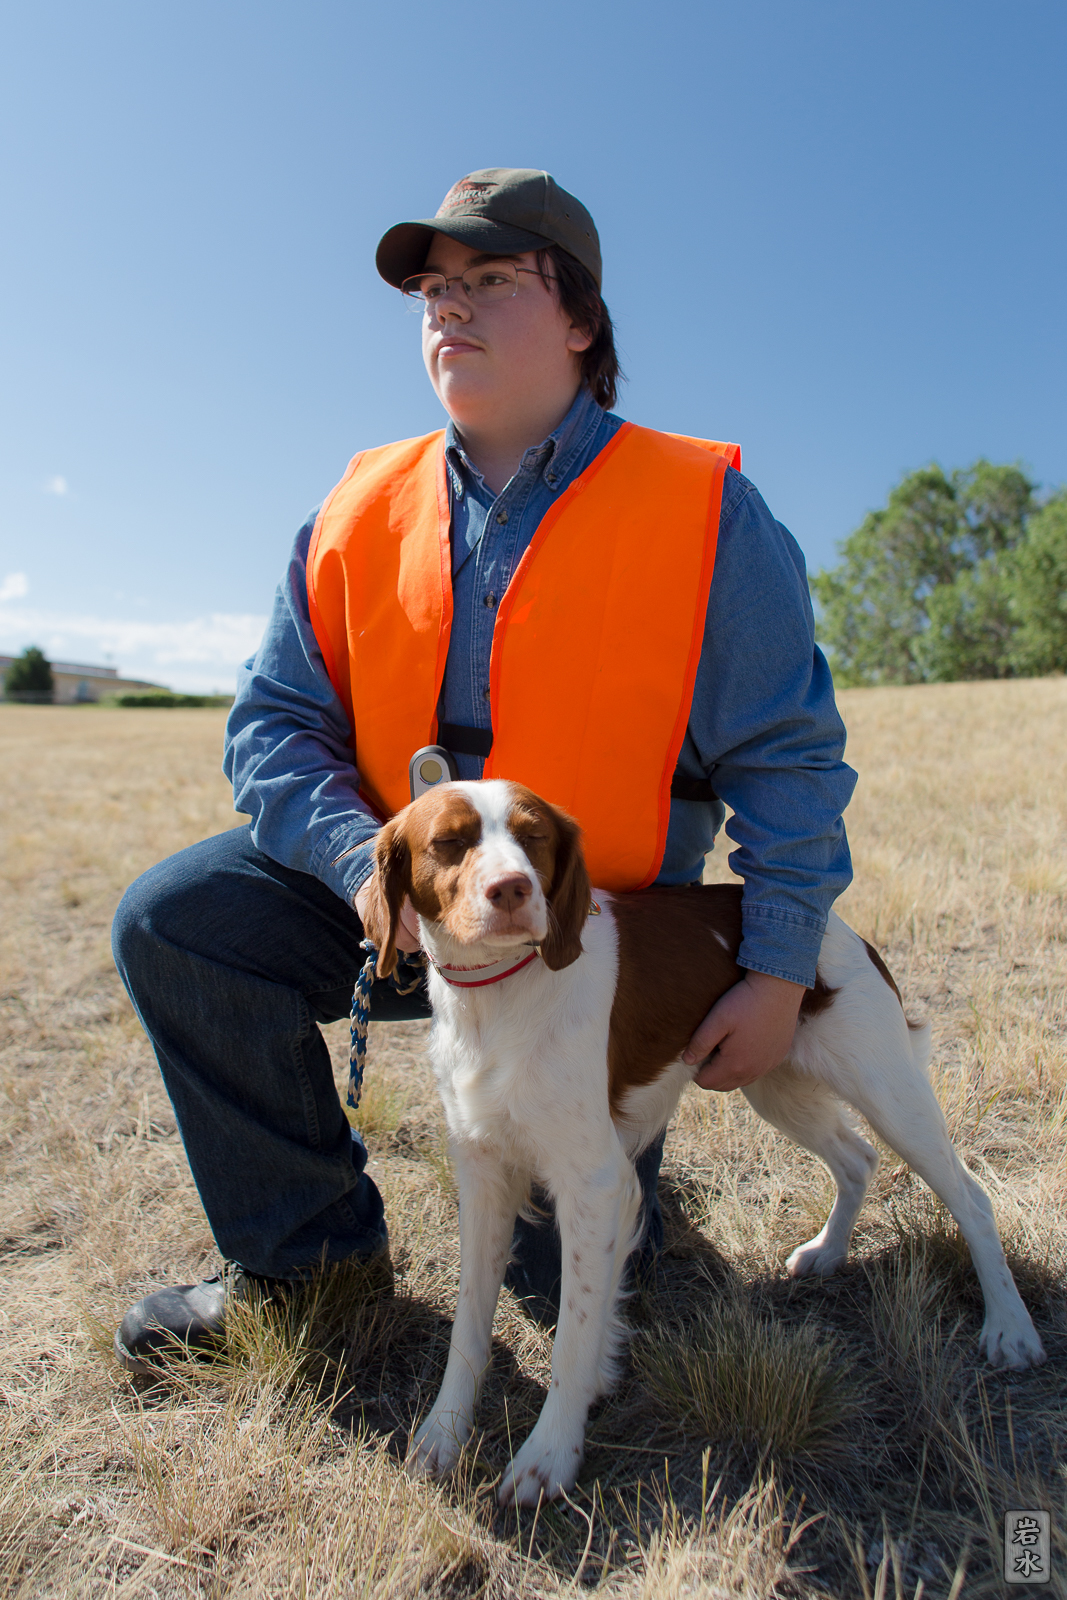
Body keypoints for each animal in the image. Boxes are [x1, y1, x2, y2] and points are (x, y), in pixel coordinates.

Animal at [363, 780, 1049, 1504]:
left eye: (534, 837)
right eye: (449, 842)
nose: (513, 889)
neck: (501, 996)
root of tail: (839, 929)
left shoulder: (595, 1181)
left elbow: (573, 1333)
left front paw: (548, 1456)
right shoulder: (484, 1170)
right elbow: (470, 1323)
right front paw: (442, 1436)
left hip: (884, 1086)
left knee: (969, 1198)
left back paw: (1010, 1329)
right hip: (772, 1078)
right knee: (857, 1158)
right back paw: (828, 1252)